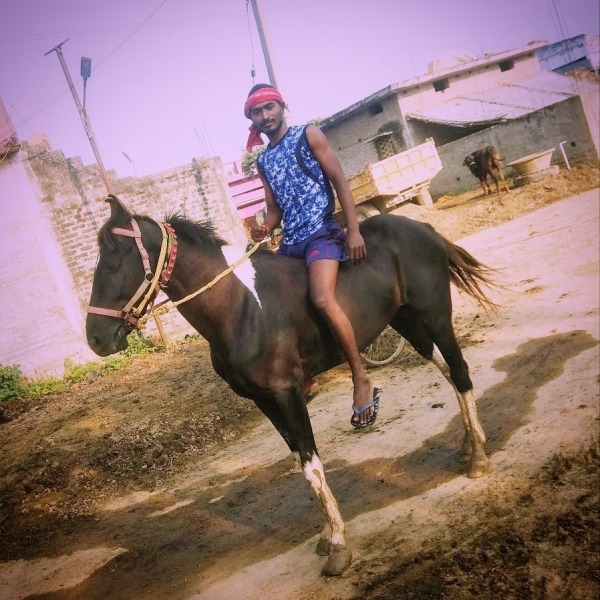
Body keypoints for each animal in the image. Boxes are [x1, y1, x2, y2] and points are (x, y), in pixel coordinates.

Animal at [85, 196, 496, 576]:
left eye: (115, 261)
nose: (96, 339)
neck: (240, 306)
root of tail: (423, 228)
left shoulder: (287, 394)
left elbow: (311, 465)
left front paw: (338, 544)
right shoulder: (264, 401)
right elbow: (301, 461)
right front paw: (328, 533)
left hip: (436, 315)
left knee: (460, 372)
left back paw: (478, 456)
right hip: (407, 320)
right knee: (446, 372)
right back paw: (466, 442)